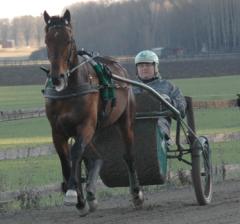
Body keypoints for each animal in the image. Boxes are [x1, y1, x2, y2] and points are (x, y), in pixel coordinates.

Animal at [42, 10, 143, 215]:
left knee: (129, 155)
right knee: (95, 157)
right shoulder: (57, 131)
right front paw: (79, 200)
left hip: (125, 120)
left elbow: (75, 154)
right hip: (96, 130)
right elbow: (67, 161)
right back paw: (90, 194)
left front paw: (72, 193)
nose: (57, 78)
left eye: (68, 40)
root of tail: (117, 65)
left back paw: (136, 194)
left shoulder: (85, 125)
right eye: (47, 40)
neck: (69, 90)